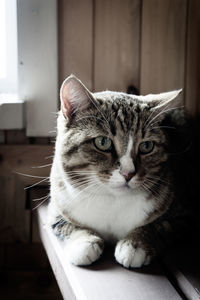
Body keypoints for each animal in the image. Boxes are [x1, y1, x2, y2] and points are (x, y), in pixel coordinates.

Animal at [47, 74, 198, 268]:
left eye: (147, 146)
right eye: (103, 142)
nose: (128, 173)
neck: (112, 200)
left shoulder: (185, 213)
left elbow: (160, 225)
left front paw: (135, 244)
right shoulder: (57, 204)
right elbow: (67, 224)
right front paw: (84, 243)